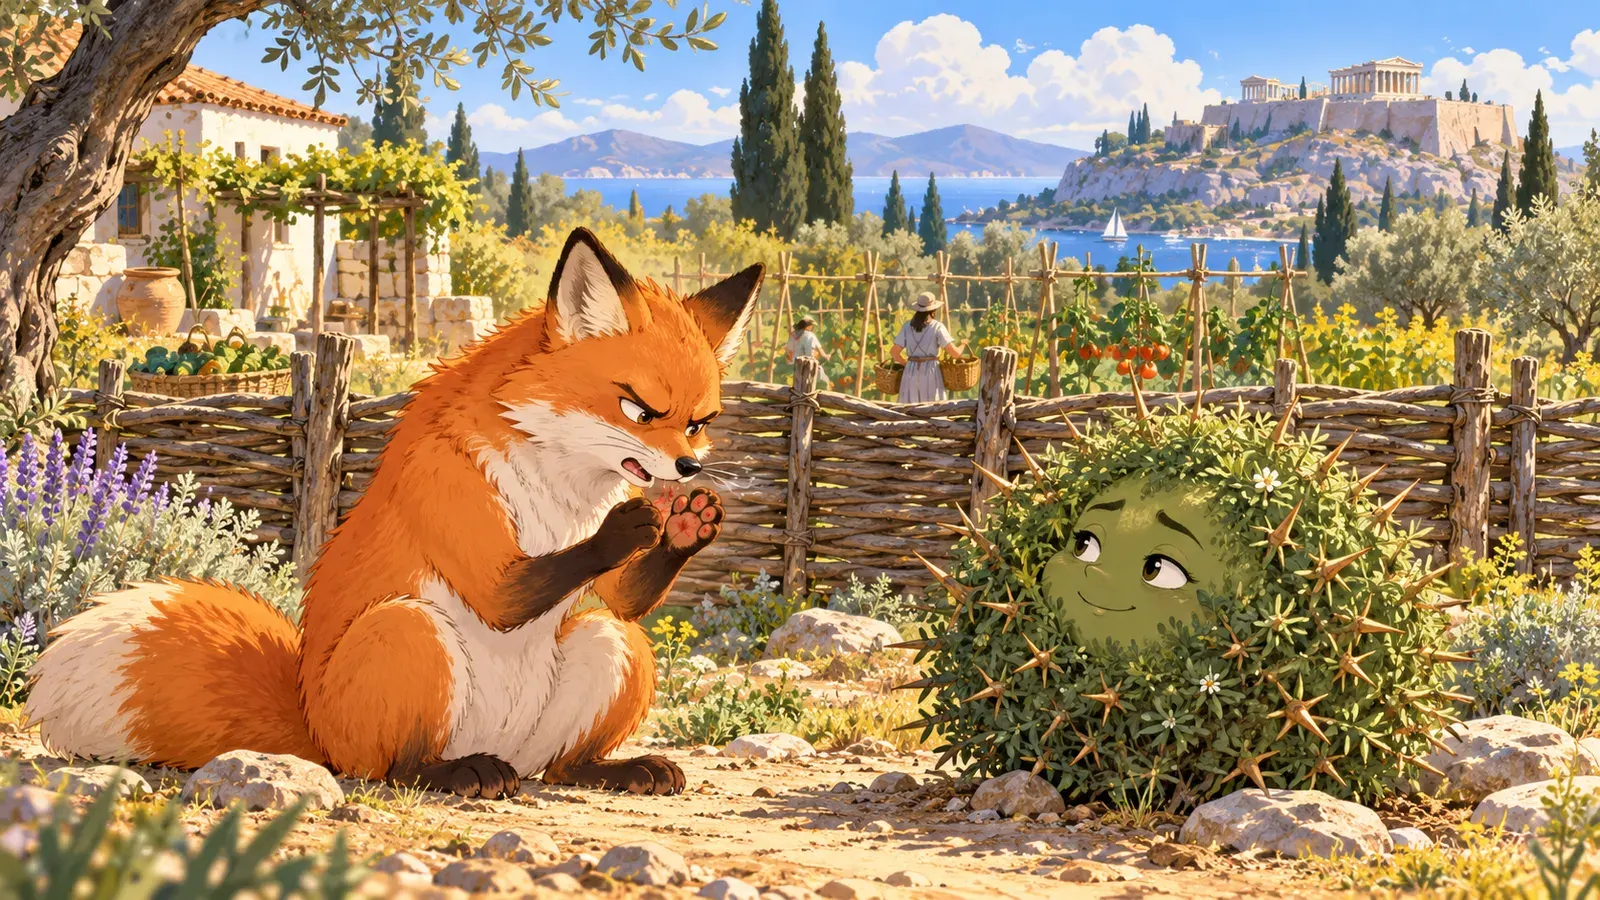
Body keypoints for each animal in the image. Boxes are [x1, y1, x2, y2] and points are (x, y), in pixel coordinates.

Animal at [23, 227, 763, 799]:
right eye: (638, 410)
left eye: (699, 423)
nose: (688, 470)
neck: (561, 490)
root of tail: (314, 729)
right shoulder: (448, 495)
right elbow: (507, 591)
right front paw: (632, 527)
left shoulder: (609, 592)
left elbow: (626, 598)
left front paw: (689, 527)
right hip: (409, 633)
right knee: (393, 767)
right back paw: (456, 775)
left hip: (611, 650)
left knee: (564, 755)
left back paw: (609, 770)